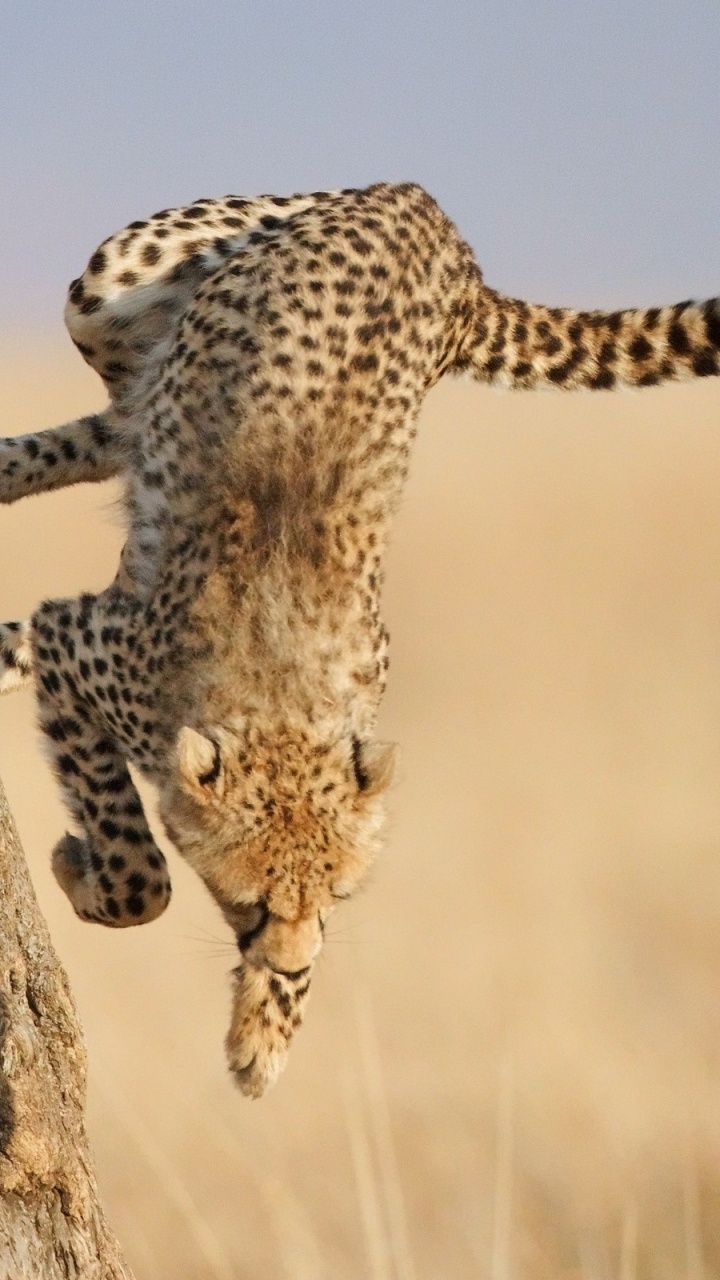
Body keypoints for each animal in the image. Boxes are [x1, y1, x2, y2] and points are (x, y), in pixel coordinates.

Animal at [1, 181, 718, 1097]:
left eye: (333, 899)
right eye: (252, 901)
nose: (290, 957)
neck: (278, 695)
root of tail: (432, 217)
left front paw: (265, 1034)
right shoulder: (80, 645)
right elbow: (140, 875)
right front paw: (85, 870)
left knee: (121, 424)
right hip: (113, 280)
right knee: (119, 414)